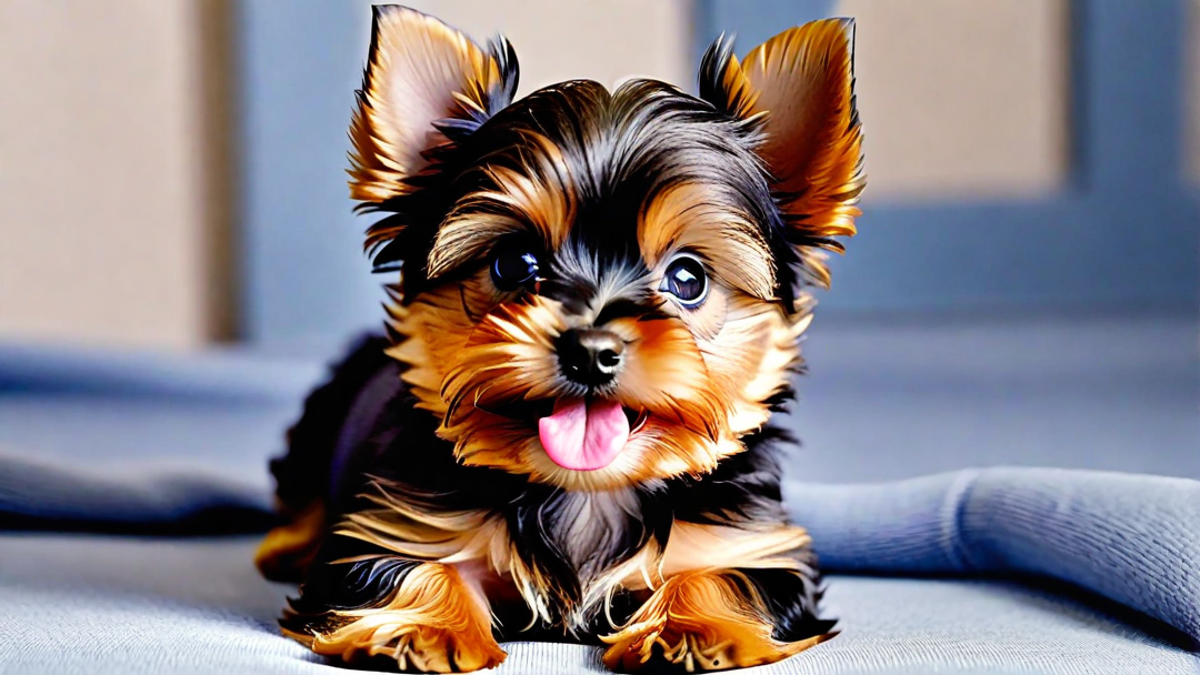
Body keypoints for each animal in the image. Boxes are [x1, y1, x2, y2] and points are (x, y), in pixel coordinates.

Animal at [258, 3, 868, 667]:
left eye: (688, 278)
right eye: (514, 263)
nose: (590, 352)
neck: (588, 493)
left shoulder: (749, 543)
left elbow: (720, 576)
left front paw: (692, 628)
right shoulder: (395, 526)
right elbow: (414, 566)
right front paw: (423, 628)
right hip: (318, 423)